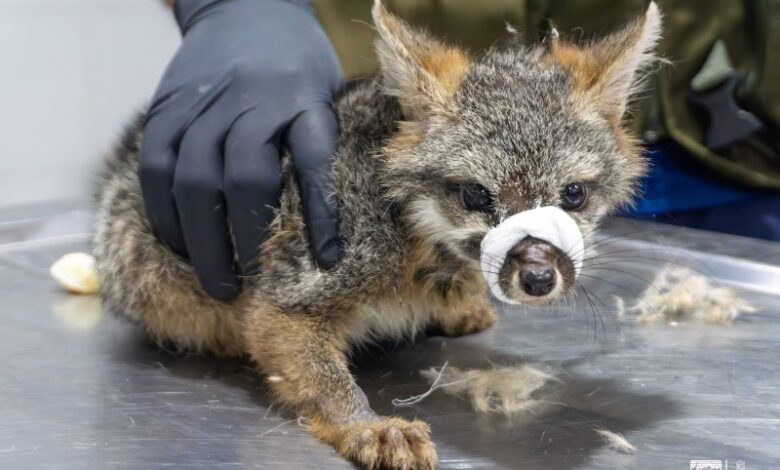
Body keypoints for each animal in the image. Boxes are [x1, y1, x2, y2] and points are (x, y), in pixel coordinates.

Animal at [93, 2, 662, 468]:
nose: (539, 278)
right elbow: (324, 378)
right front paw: (366, 426)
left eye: (573, 196)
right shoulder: (286, 299)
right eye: (475, 196)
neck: (413, 238)